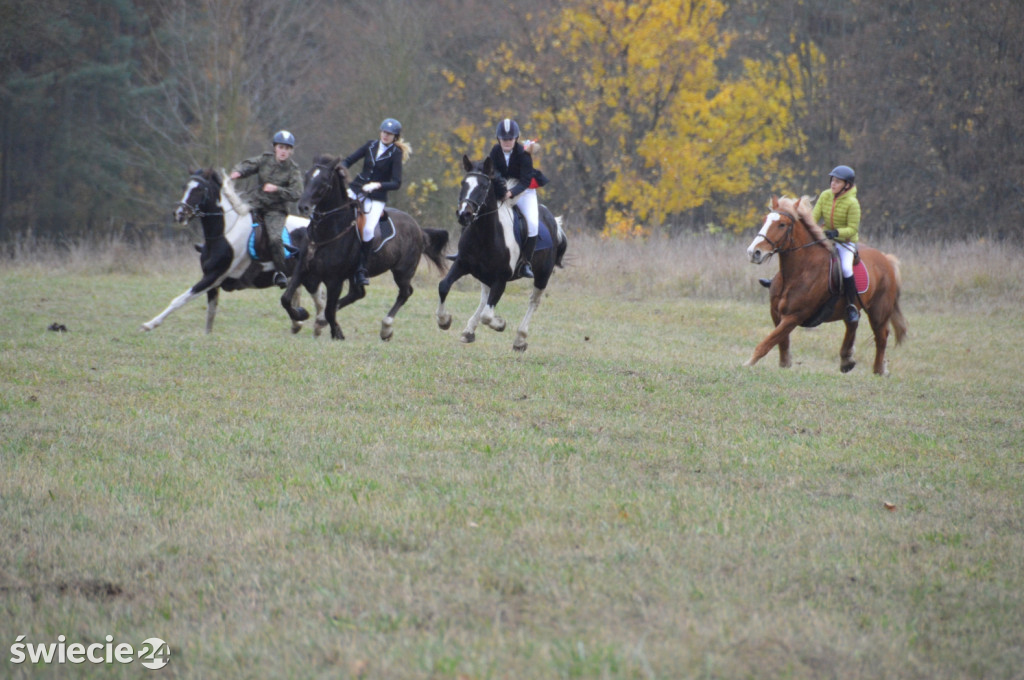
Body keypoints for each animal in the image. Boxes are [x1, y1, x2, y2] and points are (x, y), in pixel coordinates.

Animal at [434, 155, 569, 352]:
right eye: (463, 183)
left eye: (483, 186)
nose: (464, 215)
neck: (483, 234)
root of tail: (554, 222)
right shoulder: (462, 264)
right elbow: (444, 286)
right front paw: (444, 321)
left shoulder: (501, 278)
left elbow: (487, 316)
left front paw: (500, 324)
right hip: (484, 274)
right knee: (484, 299)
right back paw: (469, 331)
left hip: (542, 275)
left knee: (533, 301)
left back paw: (520, 339)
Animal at [745, 196, 905, 374]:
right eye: (764, 220)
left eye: (782, 224)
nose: (754, 253)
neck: (799, 271)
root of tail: (886, 259)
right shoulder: (775, 313)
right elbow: (781, 343)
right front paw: (784, 365)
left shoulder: (794, 316)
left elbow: (767, 343)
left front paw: (747, 364)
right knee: (853, 325)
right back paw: (847, 360)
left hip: (879, 311)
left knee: (881, 336)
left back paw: (878, 370)